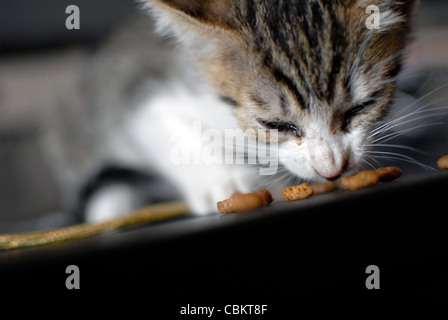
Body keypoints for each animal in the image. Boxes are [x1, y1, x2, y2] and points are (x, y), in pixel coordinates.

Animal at [79, 0, 420, 221]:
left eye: (361, 107)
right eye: (274, 124)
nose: (331, 169)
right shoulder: (136, 84)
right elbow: (152, 118)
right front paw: (223, 180)